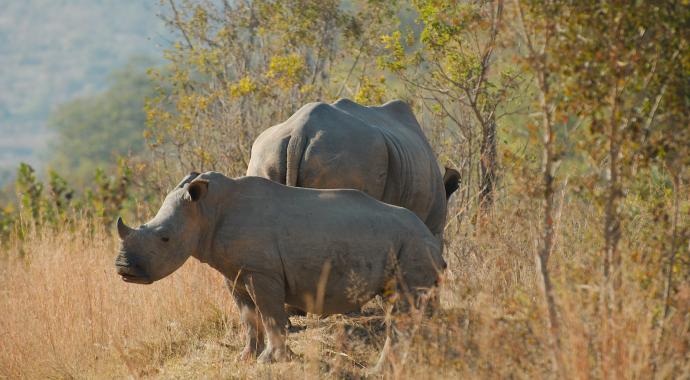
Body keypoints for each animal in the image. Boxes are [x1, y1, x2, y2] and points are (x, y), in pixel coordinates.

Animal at [115, 171, 444, 362]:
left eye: (165, 238)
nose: (124, 270)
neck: (205, 210)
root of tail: (430, 236)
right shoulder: (234, 271)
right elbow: (248, 317)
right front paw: (246, 358)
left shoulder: (262, 271)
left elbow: (270, 314)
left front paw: (272, 361)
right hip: (407, 245)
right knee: (407, 305)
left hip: (413, 244)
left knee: (403, 306)